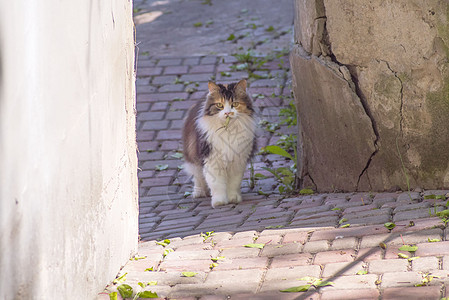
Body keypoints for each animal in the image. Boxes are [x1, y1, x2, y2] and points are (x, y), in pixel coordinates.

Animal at [181, 78, 256, 207]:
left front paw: (233, 198)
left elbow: (233, 183)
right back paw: (199, 193)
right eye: (219, 105)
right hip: (193, 156)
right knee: (198, 177)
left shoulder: (238, 160)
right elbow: (216, 184)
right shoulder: (211, 159)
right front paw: (219, 201)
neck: (228, 130)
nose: (227, 113)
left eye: (235, 104)